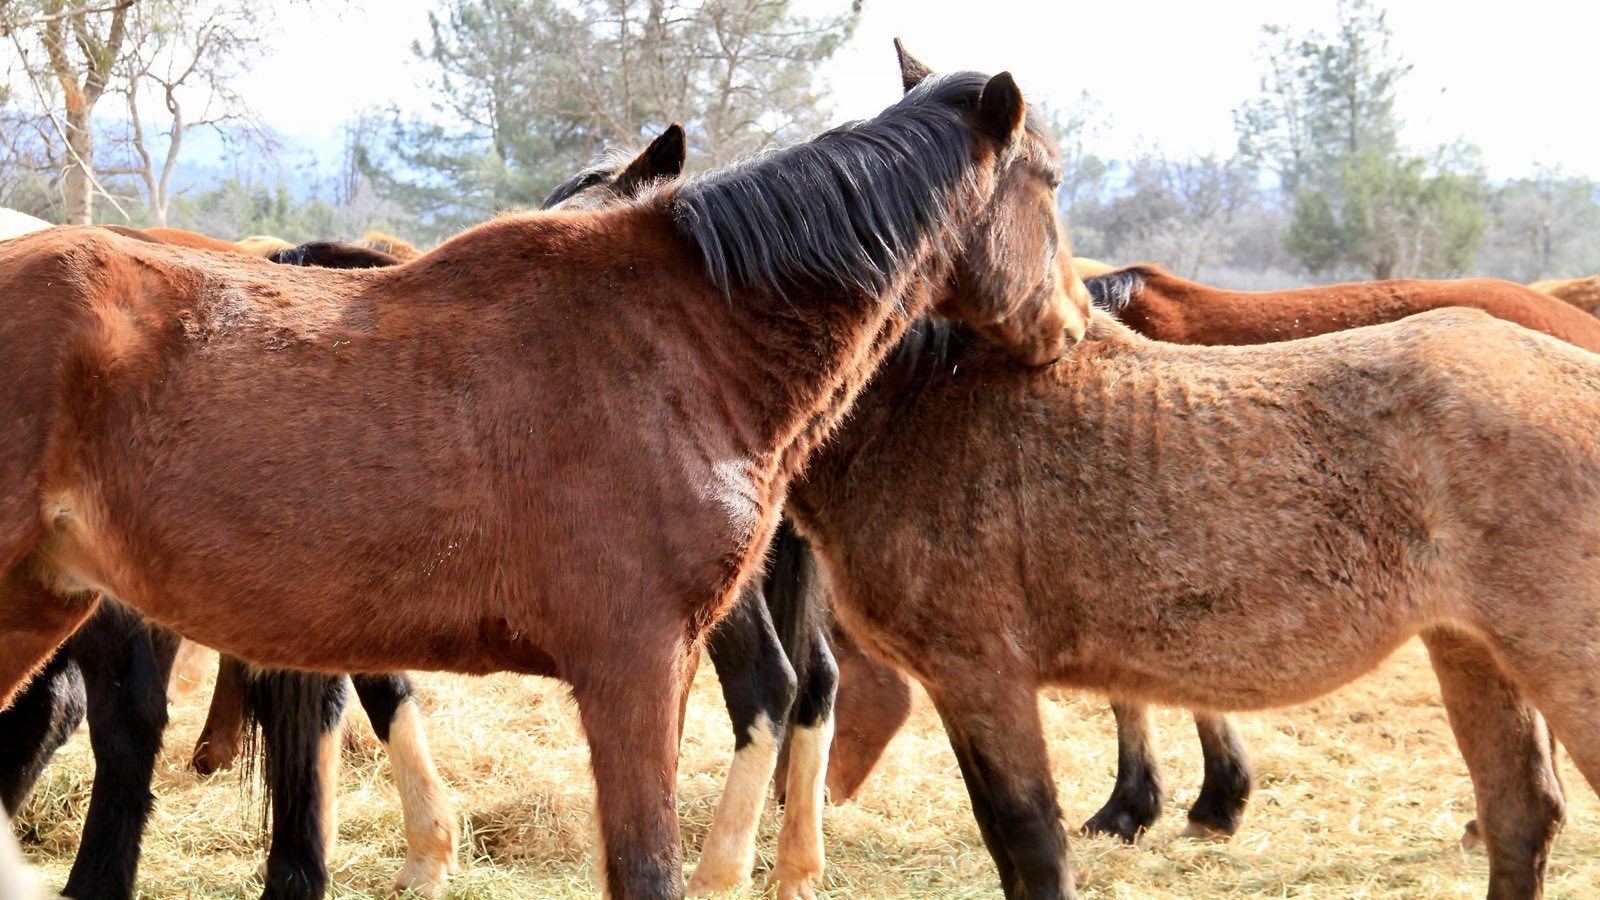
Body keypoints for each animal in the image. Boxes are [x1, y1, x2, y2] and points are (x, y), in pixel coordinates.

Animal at [0, 60, 1083, 899]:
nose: (1070, 324)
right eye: (1052, 182)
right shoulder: (631, 664)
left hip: (45, 598)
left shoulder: (661, 667)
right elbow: (644, 865)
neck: (686, 338)